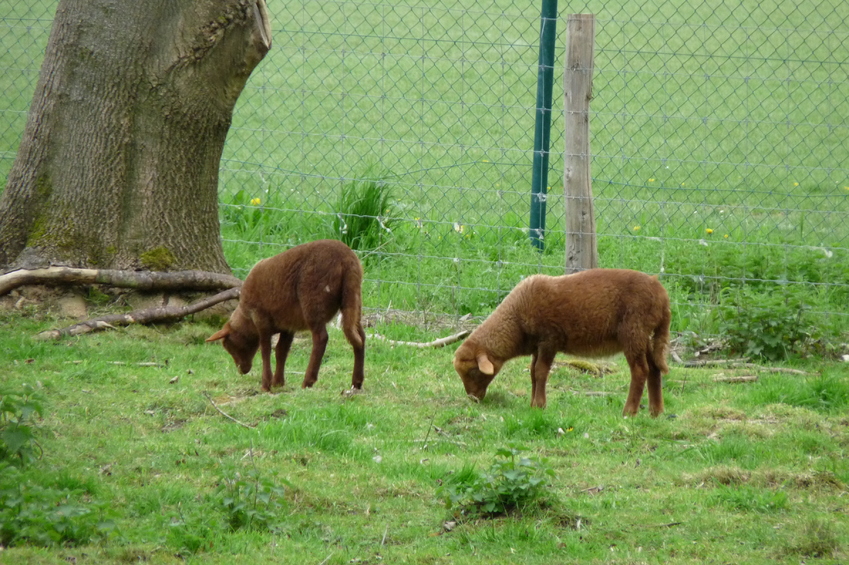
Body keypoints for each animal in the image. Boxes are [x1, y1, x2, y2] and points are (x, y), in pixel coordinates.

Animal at [208, 238, 364, 392]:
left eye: (229, 346)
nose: (242, 371)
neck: (247, 319)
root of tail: (346, 258)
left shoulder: (261, 318)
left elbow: (265, 350)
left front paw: (266, 385)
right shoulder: (288, 325)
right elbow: (281, 351)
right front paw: (278, 382)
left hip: (313, 302)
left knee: (321, 338)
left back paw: (308, 381)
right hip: (354, 299)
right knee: (360, 336)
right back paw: (356, 382)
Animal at [450, 266, 668, 416]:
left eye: (473, 371)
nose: (473, 399)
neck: (516, 320)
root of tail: (662, 295)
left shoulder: (550, 339)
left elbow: (540, 371)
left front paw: (539, 405)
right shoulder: (538, 345)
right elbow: (533, 372)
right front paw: (533, 405)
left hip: (633, 331)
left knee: (640, 370)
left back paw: (629, 412)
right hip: (644, 335)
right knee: (654, 368)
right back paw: (655, 412)